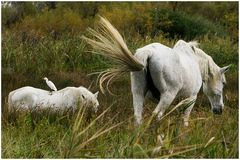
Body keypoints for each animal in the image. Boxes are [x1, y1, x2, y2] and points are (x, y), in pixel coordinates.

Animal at [81, 16, 230, 126]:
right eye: (223, 82)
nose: (219, 110)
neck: (195, 61)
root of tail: (148, 52)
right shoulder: (191, 98)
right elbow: (184, 119)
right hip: (168, 95)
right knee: (156, 115)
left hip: (138, 93)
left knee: (138, 116)